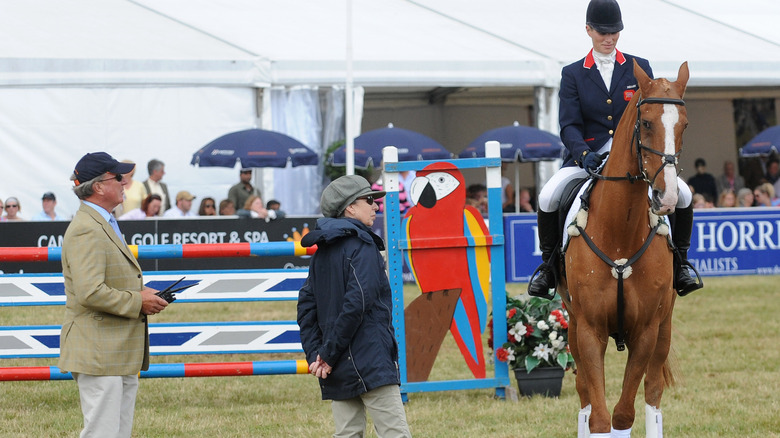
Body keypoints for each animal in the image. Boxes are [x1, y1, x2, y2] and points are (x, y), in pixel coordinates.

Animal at [560, 60, 688, 438]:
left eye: (684, 125)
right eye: (646, 123)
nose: (667, 196)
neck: (619, 231)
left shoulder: (646, 330)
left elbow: (623, 415)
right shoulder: (588, 329)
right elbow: (601, 417)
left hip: (664, 328)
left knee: (653, 394)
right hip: (573, 326)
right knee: (584, 395)